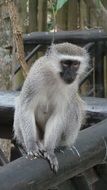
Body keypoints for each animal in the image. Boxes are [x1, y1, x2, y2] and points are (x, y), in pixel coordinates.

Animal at [13, 42, 88, 172]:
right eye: (65, 63)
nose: (71, 74)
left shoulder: (72, 87)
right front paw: (31, 145)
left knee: (73, 106)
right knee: (20, 104)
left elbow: (59, 115)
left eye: (75, 64)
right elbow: (26, 108)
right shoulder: (35, 77)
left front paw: (49, 150)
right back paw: (36, 143)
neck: (54, 75)